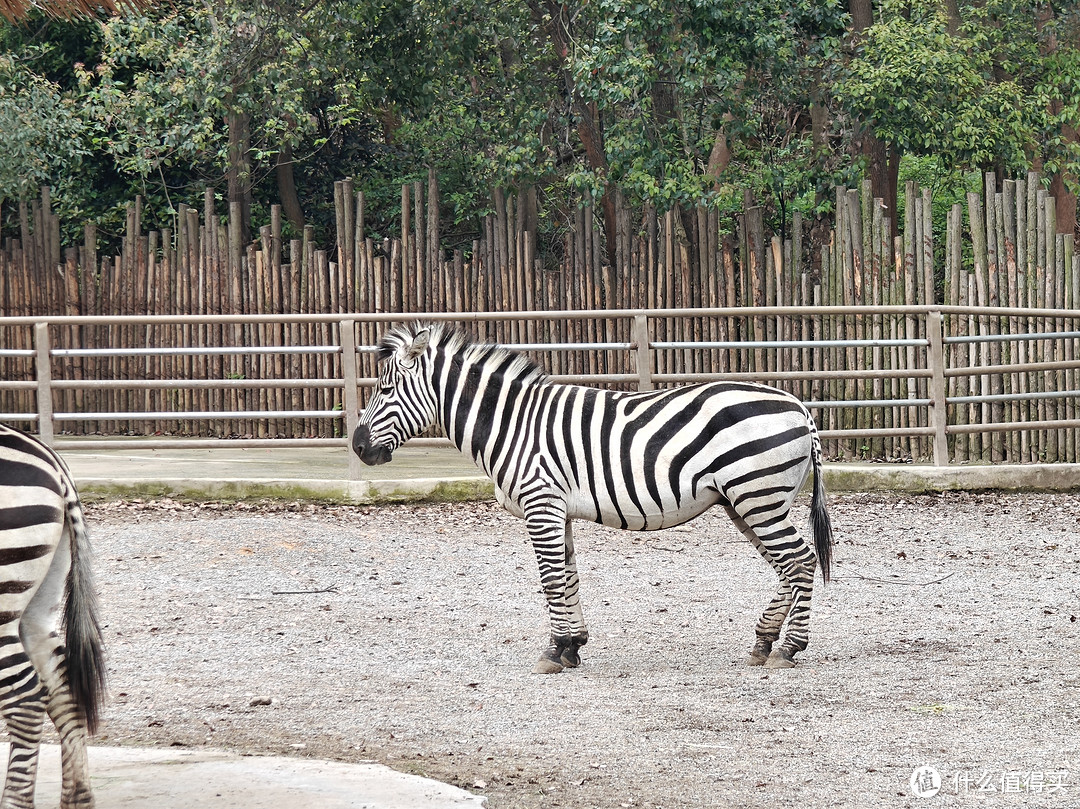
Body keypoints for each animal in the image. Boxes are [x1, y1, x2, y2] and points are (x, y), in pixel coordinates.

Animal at [354, 321, 833, 669]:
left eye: (385, 390)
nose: (358, 447)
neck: (513, 423)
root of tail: (800, 407)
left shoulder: (540, 504)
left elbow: (550, 578)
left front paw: (554, 651)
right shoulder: (556, 509)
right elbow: (568, 577)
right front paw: (572, 646)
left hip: (758, 496)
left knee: (800, 560)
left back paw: (788, 648)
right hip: (747, 501)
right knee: (790, 566)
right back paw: (764, 641)